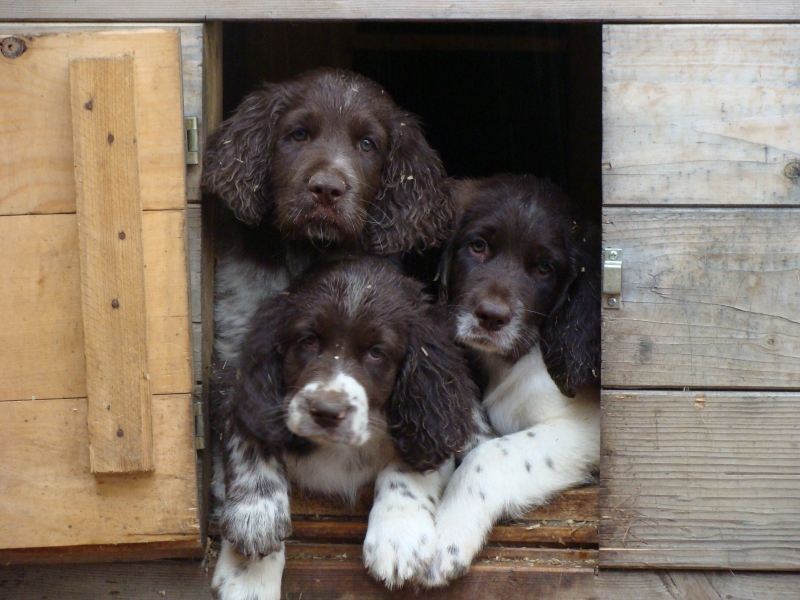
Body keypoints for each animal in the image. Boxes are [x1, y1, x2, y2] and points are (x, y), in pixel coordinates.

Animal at [209, 258, 478, 600]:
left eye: (376, 352)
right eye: (308, 340)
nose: (326, 412)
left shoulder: (435, 426)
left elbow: (407, 463)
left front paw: (399, 537)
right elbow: (251, 440)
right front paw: (254, 536)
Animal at [424, 175, 600, 584]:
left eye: (545, 268)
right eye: (478, 246)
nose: (491, 317)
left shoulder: (585, 426)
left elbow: (488, 454)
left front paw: (448, 537)